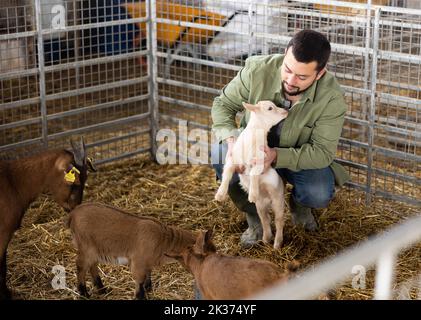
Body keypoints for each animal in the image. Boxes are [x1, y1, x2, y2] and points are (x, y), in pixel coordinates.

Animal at [67, 202, 195, 300]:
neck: (163, 239)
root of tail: (73, 213)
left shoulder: (147, 262)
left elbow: (148, 274)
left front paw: (148, 288)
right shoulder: (138, 261)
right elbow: (139, 279)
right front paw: (140, 296)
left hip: (94, 250)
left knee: (92, 265)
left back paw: (102, 289)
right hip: (86, 247)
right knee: (81, 267)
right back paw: (84, 293)